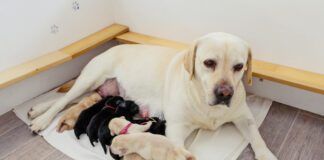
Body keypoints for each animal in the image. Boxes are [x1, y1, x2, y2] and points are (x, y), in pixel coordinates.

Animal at [27, 32, 278, 159]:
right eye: (209, 63)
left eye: (239, 66)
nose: (225, 93)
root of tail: (112, 47)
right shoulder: (175, 130)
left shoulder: (244, 117)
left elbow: (257, 137)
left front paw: (266, 155)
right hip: (91, 77)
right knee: (64, 100)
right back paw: (41, 118)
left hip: (97, 92)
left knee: (71, 100)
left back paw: (37, 109)